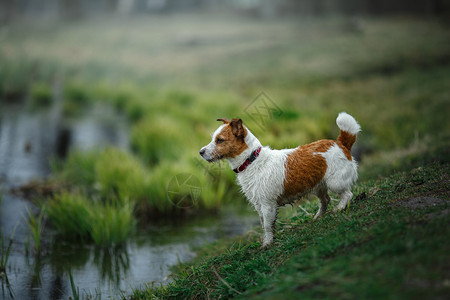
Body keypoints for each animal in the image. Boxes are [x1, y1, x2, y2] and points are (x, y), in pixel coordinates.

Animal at [199, 112, 360, 246]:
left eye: (220, 140)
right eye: (213, 139)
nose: (200, 152)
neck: (252, 160)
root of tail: (340, 143)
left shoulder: (267, 204)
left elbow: (267, 226)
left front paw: (267, 243)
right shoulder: (259, 205)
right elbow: (264, 225)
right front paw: (267, 240)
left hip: (335, 183)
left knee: (348, 194)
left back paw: (339, 208)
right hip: (318, 185)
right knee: (325, 200)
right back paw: (318, 216)